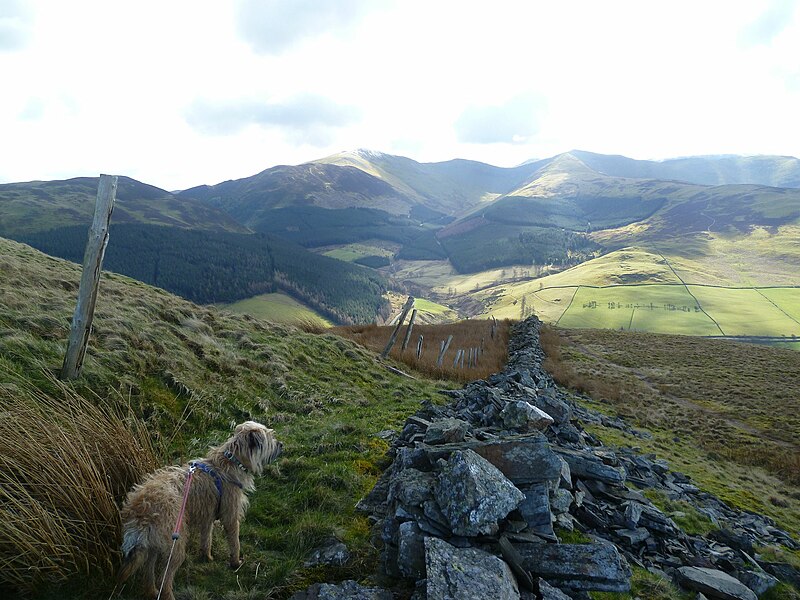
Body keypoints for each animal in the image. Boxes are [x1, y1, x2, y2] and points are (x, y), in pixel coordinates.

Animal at [117, 422, 282, 600]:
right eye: (270, 437)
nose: (281, 445)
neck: (232, 461)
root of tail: (141, 510)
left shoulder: (207, 515)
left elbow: (206, 539)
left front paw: (206, 556)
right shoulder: (230, 515)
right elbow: (234, 542)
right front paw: (236, 563)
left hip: (154, 543)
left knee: (148, 570)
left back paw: (152, 591)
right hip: (175, 543)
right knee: (164, 578)